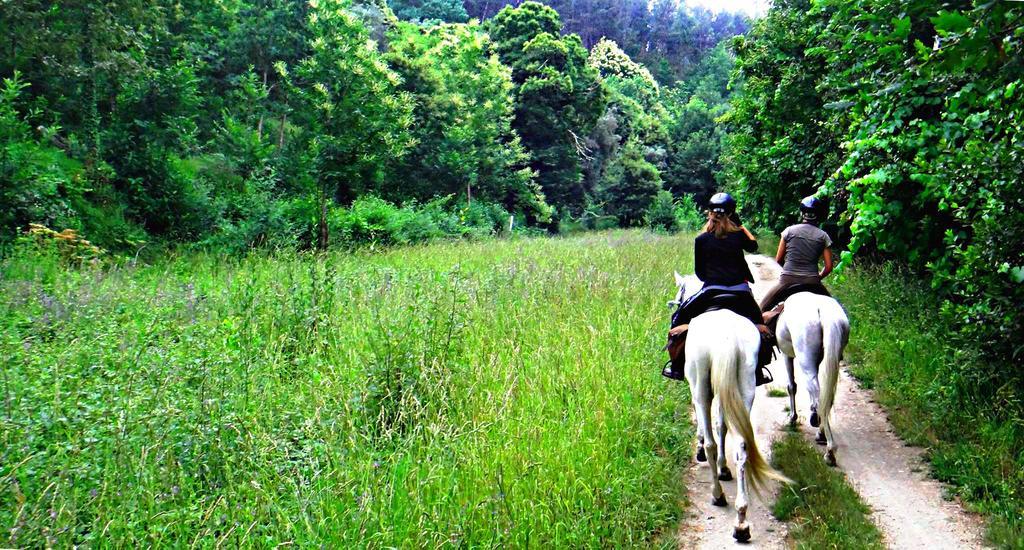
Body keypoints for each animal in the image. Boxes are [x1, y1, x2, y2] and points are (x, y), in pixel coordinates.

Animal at [675, 272, 786, 536]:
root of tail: (726, 337)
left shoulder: (697, 389)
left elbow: (708, 429)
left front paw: (705, 454)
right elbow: (722, 425)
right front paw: (724, 469)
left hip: (702, 387)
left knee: (712, 444)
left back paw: (718, 496)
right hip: (744, 386)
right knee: (742, 446)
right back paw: (741, 520)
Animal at [774, 290, 847, 462]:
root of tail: (822, 310)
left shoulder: (787, 355)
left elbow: (791, 386)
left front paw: (792, 418)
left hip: (805, 359)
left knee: (818, 394)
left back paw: (829, 449)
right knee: (826, 396)